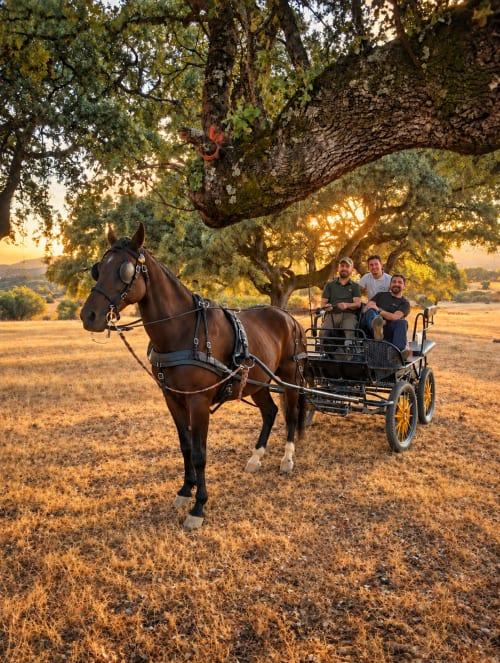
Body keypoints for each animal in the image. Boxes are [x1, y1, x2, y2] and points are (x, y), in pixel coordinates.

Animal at [80, 223, 307, 529]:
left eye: (124, 270)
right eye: (98, 268)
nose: (88, 315)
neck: (184, 330)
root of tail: (288, 316)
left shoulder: (198, 402)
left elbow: (200, 454)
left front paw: (198, 507)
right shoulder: (173, 399)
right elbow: (186, 446)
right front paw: (185, 491)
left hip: (290, 375)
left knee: (291, 414)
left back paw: (287, 459)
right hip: (257, 380)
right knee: (270, 412)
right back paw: (256, 457)